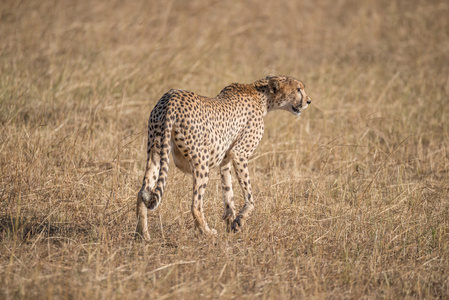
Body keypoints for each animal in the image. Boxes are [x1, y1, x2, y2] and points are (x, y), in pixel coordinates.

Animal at [136, 75, 312, 241]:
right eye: (298, 89)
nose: (308, 101)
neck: (261, 95)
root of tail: (171, 97)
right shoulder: (239, 153)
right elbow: (249, 196)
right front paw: (239, 220)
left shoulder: (226, 159)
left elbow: (228, 191)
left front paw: (231, 221)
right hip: (201, 162)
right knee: (195, 205)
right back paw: (207, 232)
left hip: (155, 153)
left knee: (142, 192)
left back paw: (142, 235)